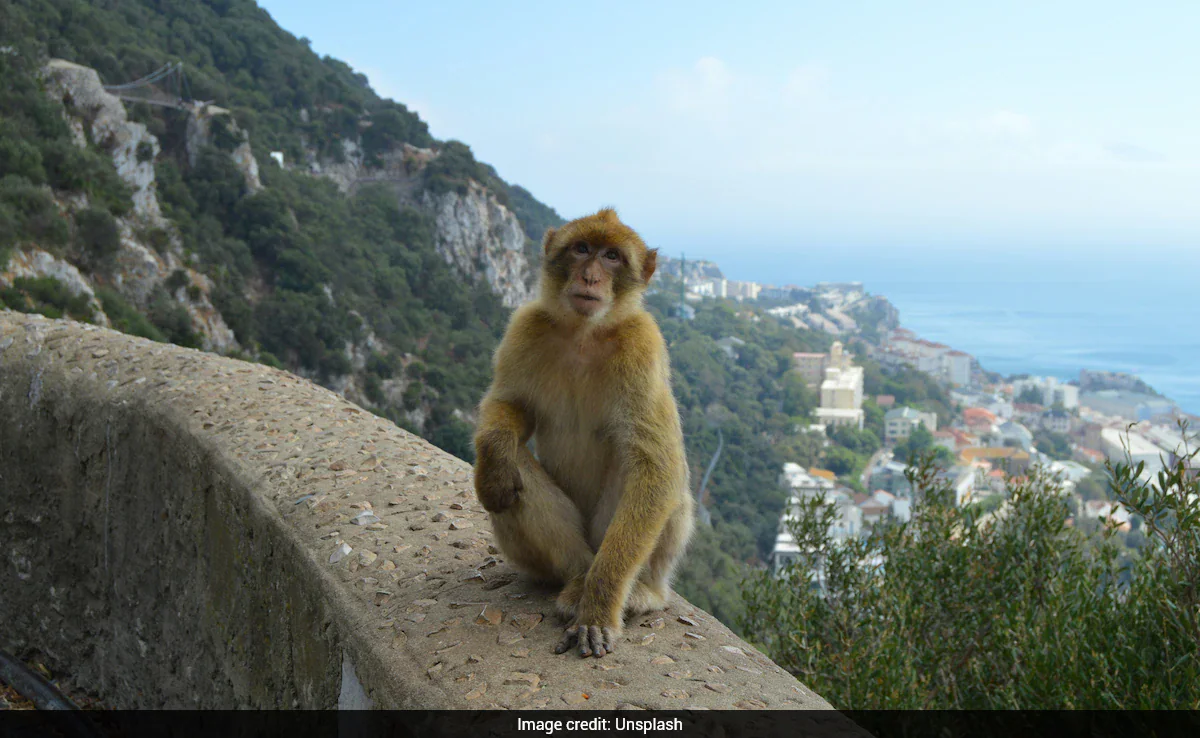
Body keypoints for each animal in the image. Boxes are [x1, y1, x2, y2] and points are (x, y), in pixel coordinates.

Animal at [472, 207, 694, 659]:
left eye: (611, 256)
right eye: (581, 248)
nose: (590, 277)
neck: (583, 333)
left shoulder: (643, 347)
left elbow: (657, 467)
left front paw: (599, 610)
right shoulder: (525, 327)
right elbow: (510, 405)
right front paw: (494, 459)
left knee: (642, 469)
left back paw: (636, 593)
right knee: (514, 466)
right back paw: (575, 580)